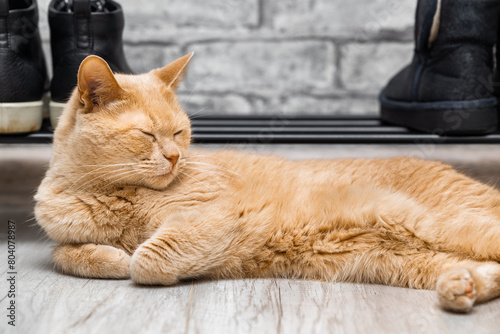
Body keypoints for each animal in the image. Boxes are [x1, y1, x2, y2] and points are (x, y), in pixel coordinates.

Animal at [34, 52, 500, 314]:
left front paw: (130, 258)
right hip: (410, 258)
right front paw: (110, 256)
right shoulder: (62, 235)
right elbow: (65, 254)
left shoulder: (212, 216)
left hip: (445, 223)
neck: (105, 193)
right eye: (148, 135)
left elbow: (148, 259)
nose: (175, 157)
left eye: (180, 133)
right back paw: (461, 287)